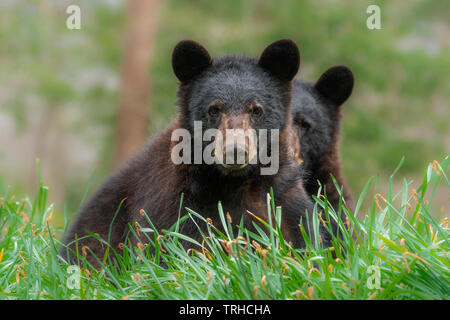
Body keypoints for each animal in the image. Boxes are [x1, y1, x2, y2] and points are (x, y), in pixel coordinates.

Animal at [62, 38, 324, 266]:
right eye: (214, 109)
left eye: (256, 109)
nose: (235, 151)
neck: (236, 182)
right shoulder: (177, 200)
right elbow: (175, 245)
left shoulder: (283, 198)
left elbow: (302, 236)